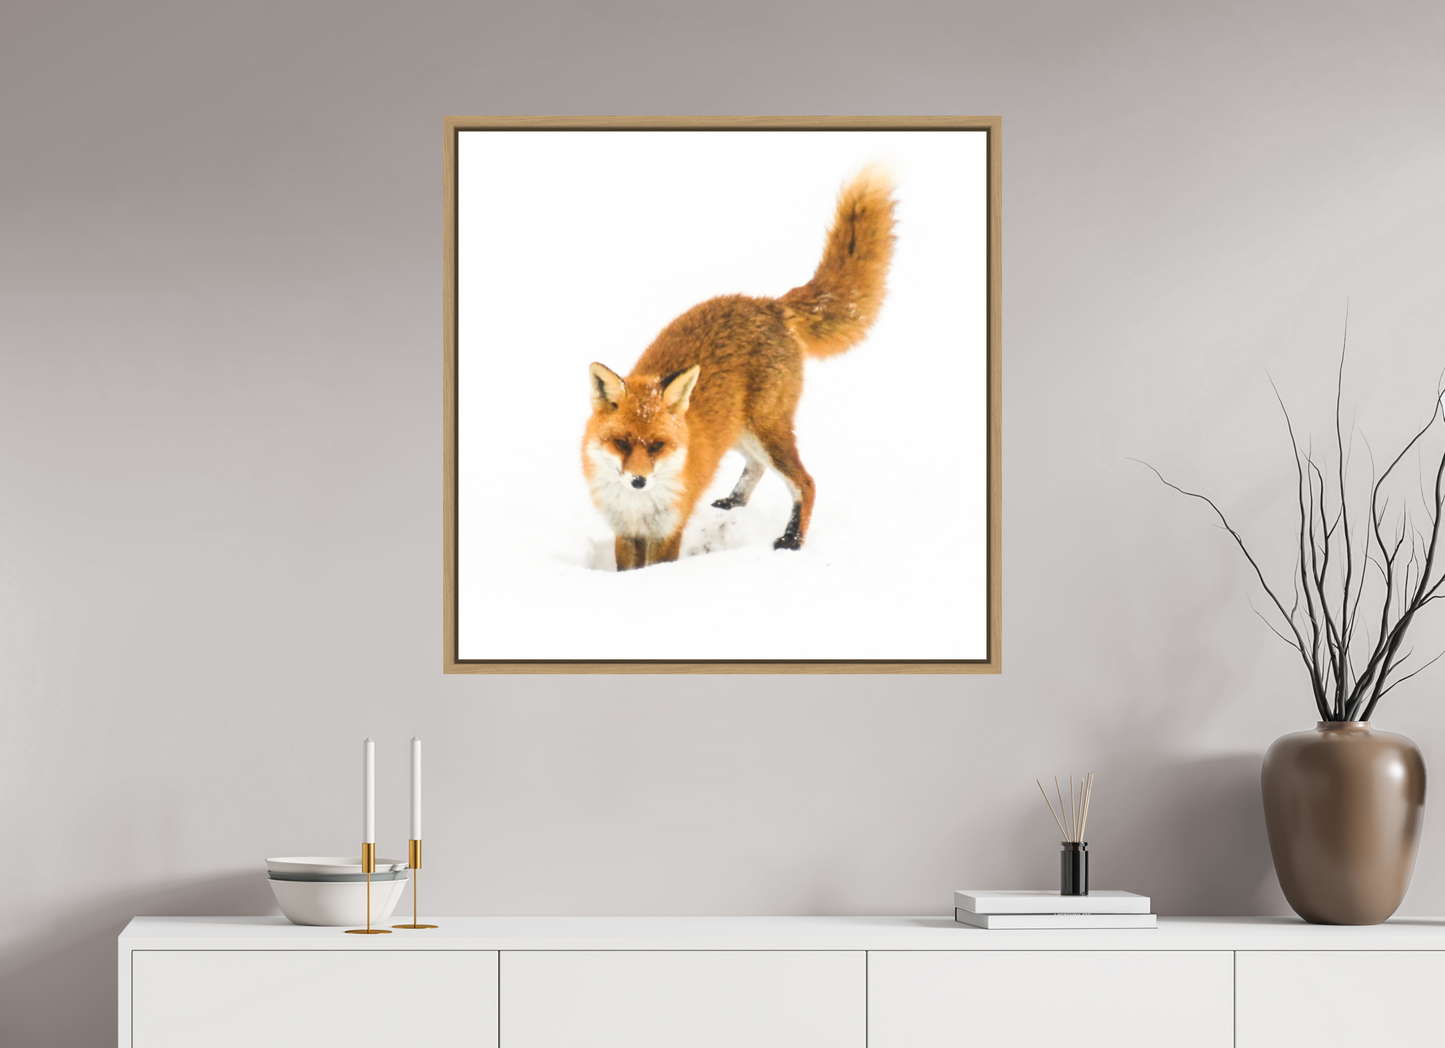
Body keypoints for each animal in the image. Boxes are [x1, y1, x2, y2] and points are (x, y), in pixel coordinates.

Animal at [582, 168, 896, 571]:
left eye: (657, 446)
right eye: (621, 443)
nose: (638, 480)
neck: (639, 504)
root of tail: (770, 304)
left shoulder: (669, 529)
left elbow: (659, 565)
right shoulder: (625, 530)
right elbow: (627, 567)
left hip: (767, 429)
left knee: (806, 482)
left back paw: (791, 540)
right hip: (739, 432)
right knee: (757, 467)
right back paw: (732, 503)